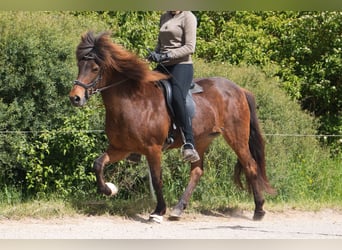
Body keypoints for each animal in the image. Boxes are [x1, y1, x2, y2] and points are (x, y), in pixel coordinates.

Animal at [69, 31, 276, 223]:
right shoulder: (121, 148)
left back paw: (259, 210)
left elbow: (157, 179)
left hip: (236, 138)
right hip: (201, 140)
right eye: (80, 65)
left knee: (250, 166)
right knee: (197, 172)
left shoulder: (153, 149)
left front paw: (158, 211)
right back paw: (178, 209)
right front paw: (109, 189)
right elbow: (98, 164)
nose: (75, 98)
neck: (132, 101)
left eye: (95, 68)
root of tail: (239, 89)